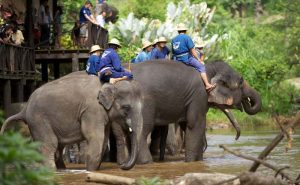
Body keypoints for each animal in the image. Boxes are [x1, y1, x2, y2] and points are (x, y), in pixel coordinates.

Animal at [0, 71, 144, 171]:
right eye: (126, 107)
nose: (122, 165)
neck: (109, 83)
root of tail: (25, 108)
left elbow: (103, 140)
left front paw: (93, 170)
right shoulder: (92, 110)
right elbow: (95, 137)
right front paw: (90, 171)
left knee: (58, 145)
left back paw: (62, 169)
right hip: (38, 120)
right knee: (49, 144)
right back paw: (51, 171)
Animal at [130, 60, 262, 164]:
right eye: (241, 81)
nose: (235, 138)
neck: (207, 69)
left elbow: (188, 124)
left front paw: (199, 161)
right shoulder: (199, 95)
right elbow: (195, 125)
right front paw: (192, 162)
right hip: (144, 105)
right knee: (142, 132)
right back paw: (146, 162)